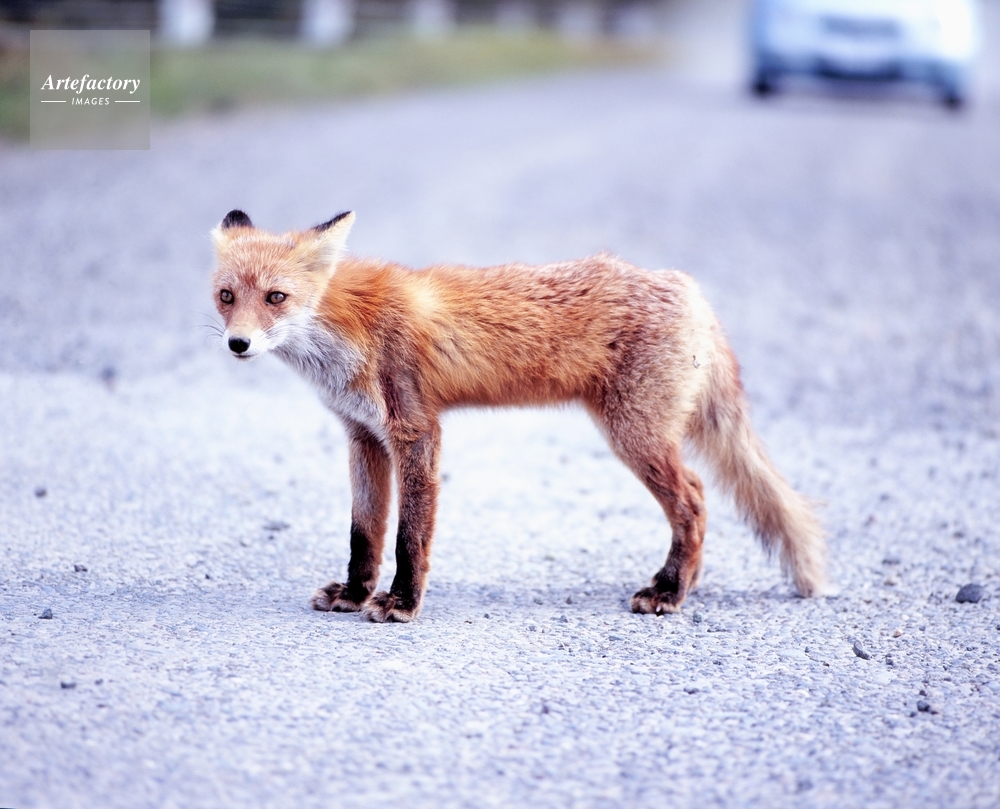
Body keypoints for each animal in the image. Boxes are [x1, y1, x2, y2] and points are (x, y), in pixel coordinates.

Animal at [210, 208, 826, 623]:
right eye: (226, 296)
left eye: (275, 297)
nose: (237, 344)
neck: (347, 329)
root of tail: (688, 287)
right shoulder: (362, 434)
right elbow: (366, 532)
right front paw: (355, 594)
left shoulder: (415, 430)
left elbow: (410, 535)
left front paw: (402, 603)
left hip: (635, 435)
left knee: (695, 500)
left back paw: (669, 591)